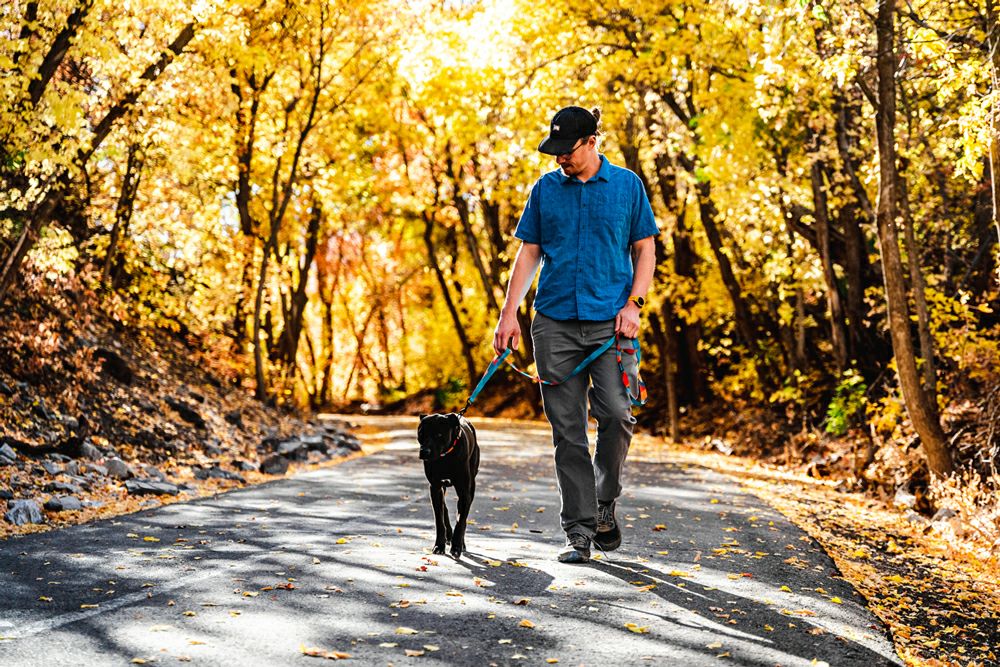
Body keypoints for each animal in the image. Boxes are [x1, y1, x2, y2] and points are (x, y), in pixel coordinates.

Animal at [418, 412, 480, 560]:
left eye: (439, 435)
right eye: (421, 433)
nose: (424, 451)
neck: (445, 457)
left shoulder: (464, 492)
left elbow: (461, 521)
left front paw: (457, 547)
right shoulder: (435, 487)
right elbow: (439, 520)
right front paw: (439, 546)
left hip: (472, 486)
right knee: (444, 509)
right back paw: (449, 536)